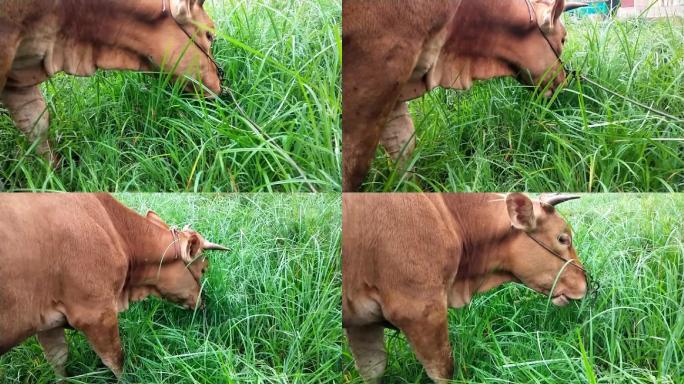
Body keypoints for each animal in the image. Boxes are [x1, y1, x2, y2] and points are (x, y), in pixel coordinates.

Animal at [0, 194, 230, 376]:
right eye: (203, 269)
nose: (203, 304)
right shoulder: (96, 314)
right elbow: (116, 360)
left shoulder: (47, 322)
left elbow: (58, 358)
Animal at [342, 0, 588, 190]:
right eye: (563, 39)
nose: (564, 81)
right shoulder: (377, 72)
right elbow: (355, 163)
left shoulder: (395, 90)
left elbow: (404, 149)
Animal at [342, 194, 588, 382]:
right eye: (563, 238)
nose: (586, 282)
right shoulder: (420, 311)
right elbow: (444, 371)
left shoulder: (362, 321)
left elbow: (373, 369)